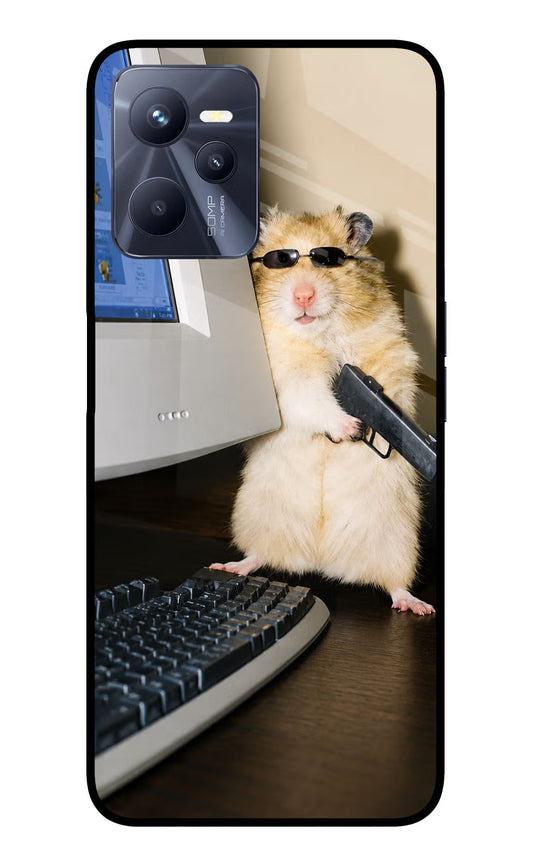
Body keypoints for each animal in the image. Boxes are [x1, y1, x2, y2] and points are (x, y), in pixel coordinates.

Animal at [211, 206, 435, 615]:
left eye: (328, 259)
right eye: (280, 260)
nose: (303, 295)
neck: (319, 334)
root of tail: (321, 561)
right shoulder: (288, 380)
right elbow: (312, 399)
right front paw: (350, 428)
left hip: (397, 541)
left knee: (394, 583)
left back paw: (417, 605)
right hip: (257, 518)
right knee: (259, 555)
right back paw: (230, 566)